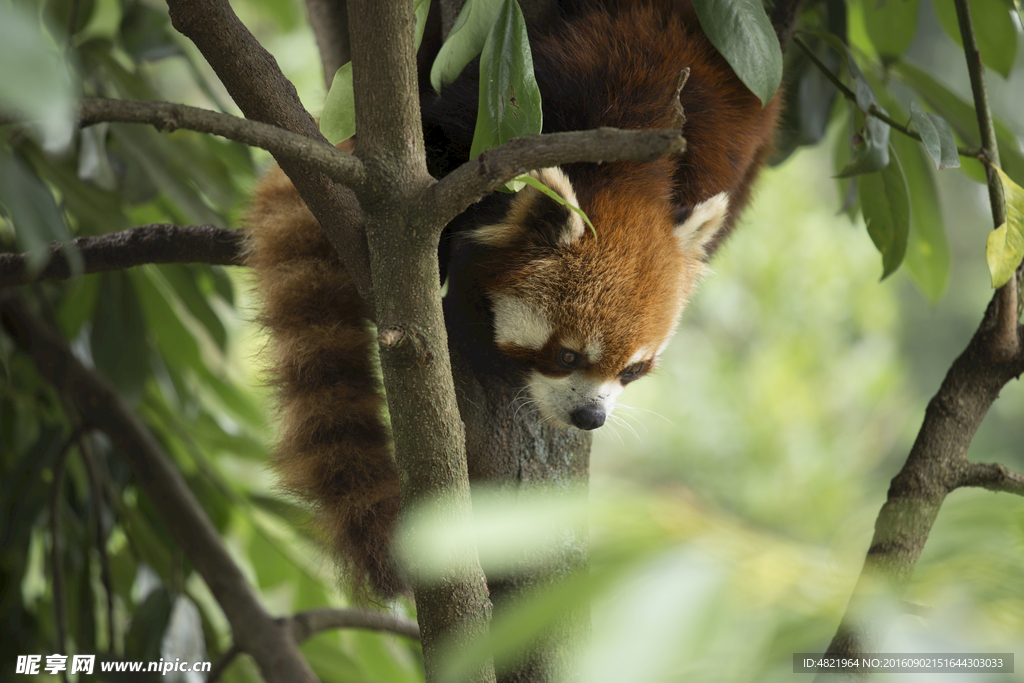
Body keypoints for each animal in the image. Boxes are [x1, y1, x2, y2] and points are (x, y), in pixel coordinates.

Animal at [247, 0, 782, 593]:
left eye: (632, 371)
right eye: (567, 355)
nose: (590, 418)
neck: (627, 157)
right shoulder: (534, 89)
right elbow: (438, 146)